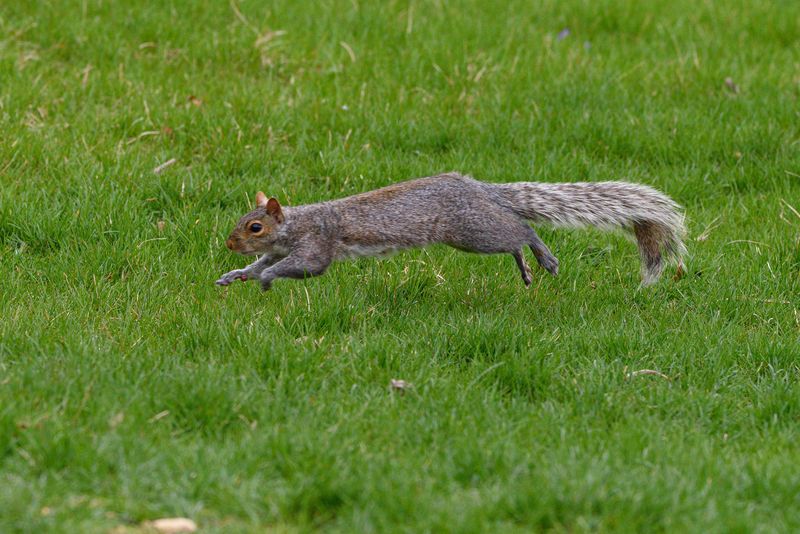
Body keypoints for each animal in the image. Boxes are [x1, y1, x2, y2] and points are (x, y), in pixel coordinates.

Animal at [216, 172, 686, 291]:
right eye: (241, 223)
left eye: (255, 225)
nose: (229, 243)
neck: (296, 223)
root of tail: (480, 188)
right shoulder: (283, 247)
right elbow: (264, 261)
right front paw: (236, 274)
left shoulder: (316, 243)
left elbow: (305, 266)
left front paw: (265, 279)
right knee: (514, 237)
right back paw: (526, 269)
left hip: (472, 230)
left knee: (521, 230)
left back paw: (543, 256)